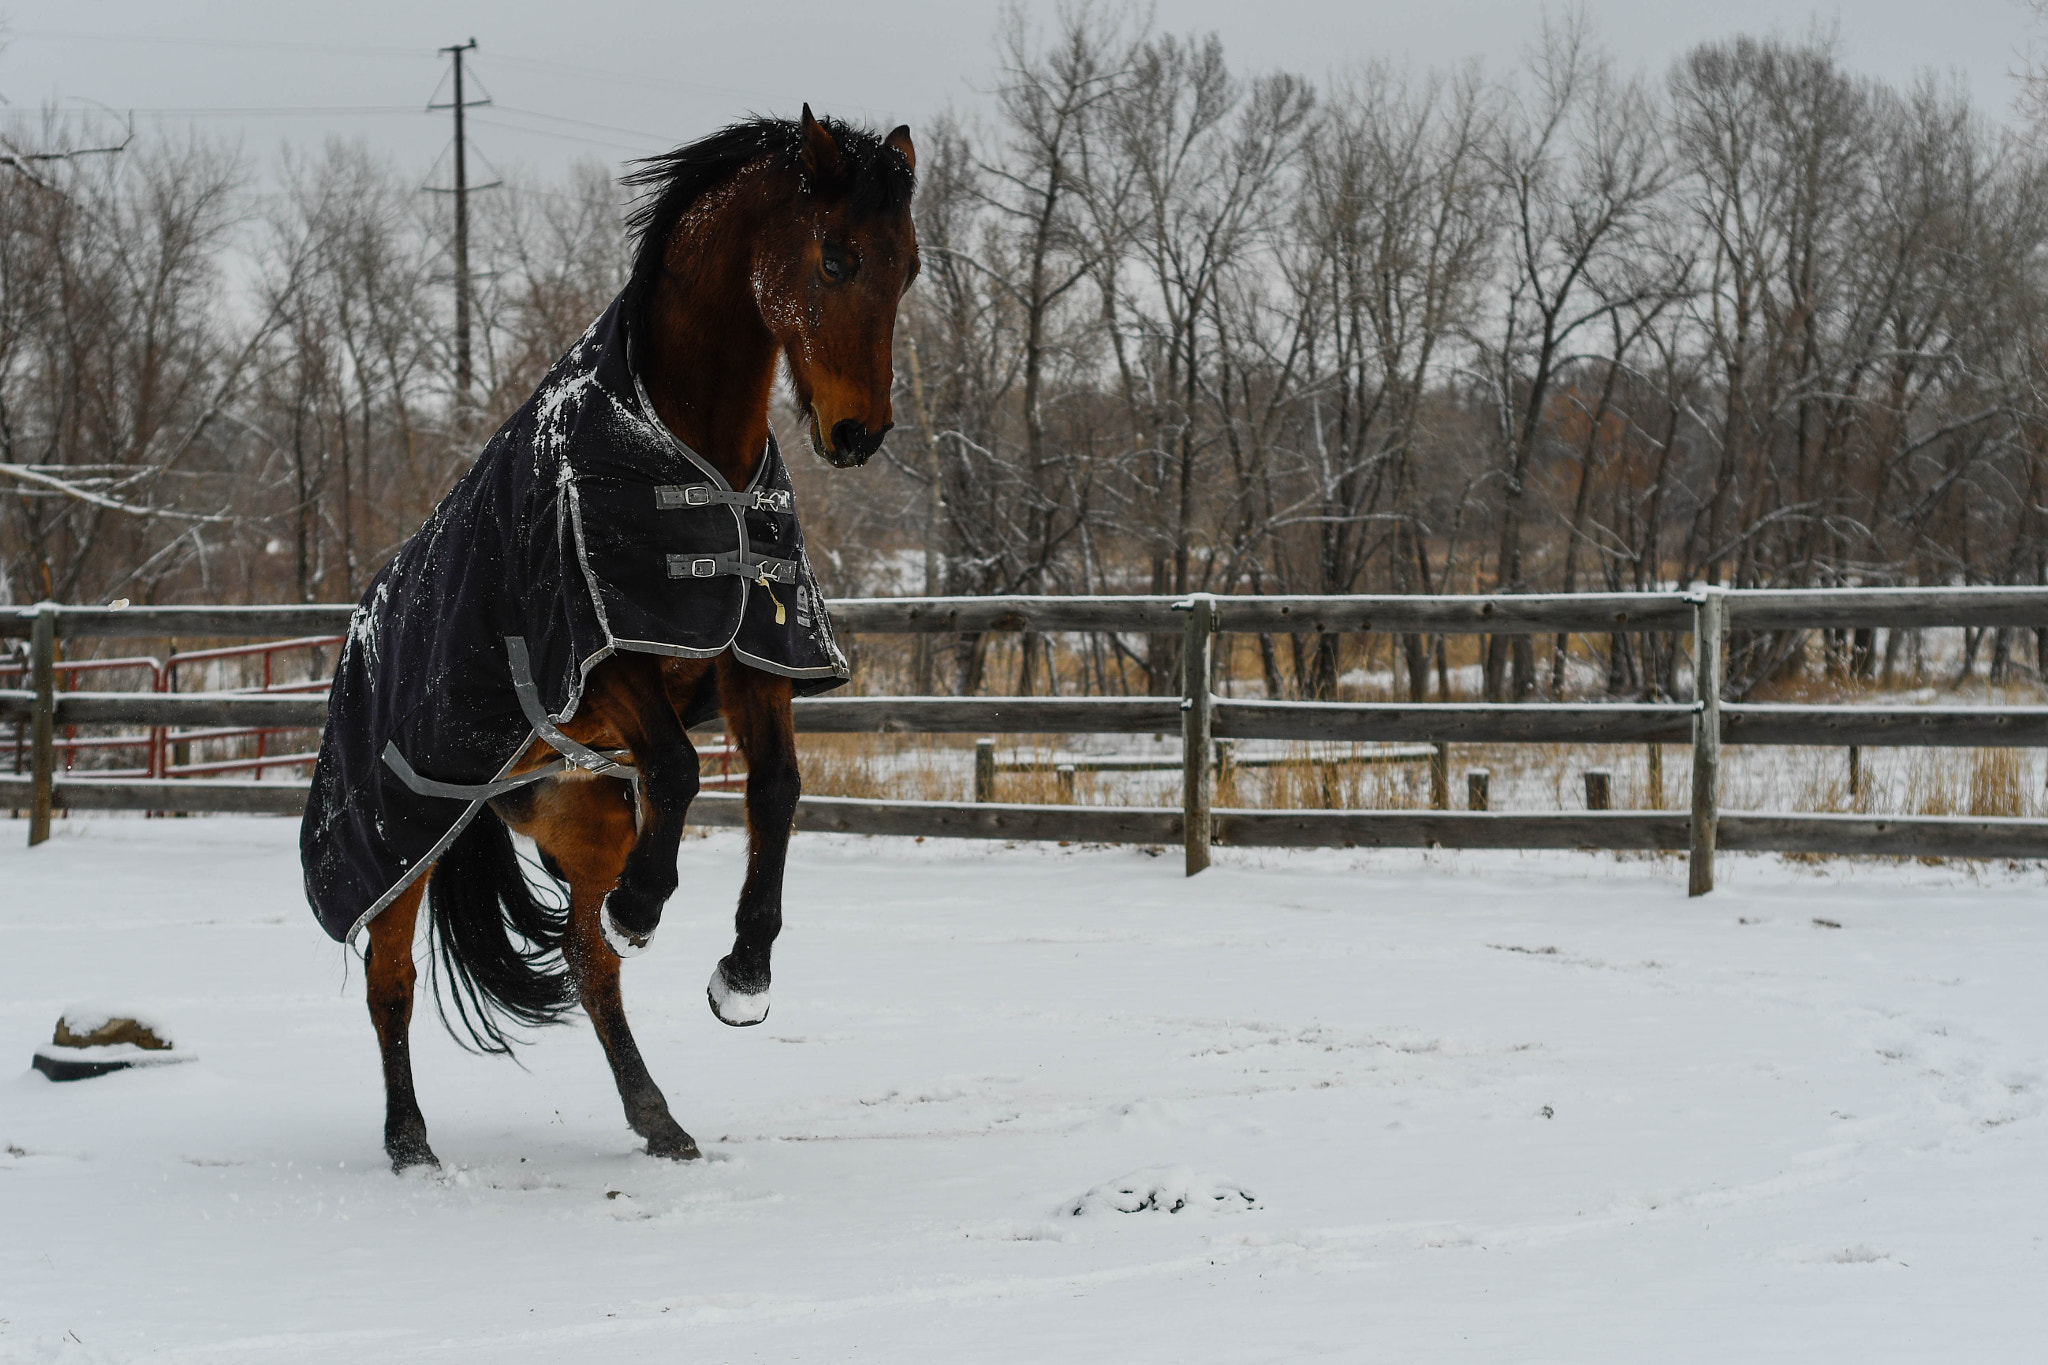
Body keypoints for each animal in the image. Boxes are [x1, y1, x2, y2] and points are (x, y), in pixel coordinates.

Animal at [299, 112, 921, 1170]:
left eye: (909, 266)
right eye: (836, 256)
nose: (857, 432)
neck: (691, 448)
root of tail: (355, 635)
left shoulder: (755, 655)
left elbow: (776, 788)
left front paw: (742, 974)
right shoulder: (603, 658)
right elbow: (678, 766)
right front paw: (647, 905)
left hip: (574, 813)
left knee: (587, 964)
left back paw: (656, 1113)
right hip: (403, 847)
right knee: (392, 980)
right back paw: (410, 1141)